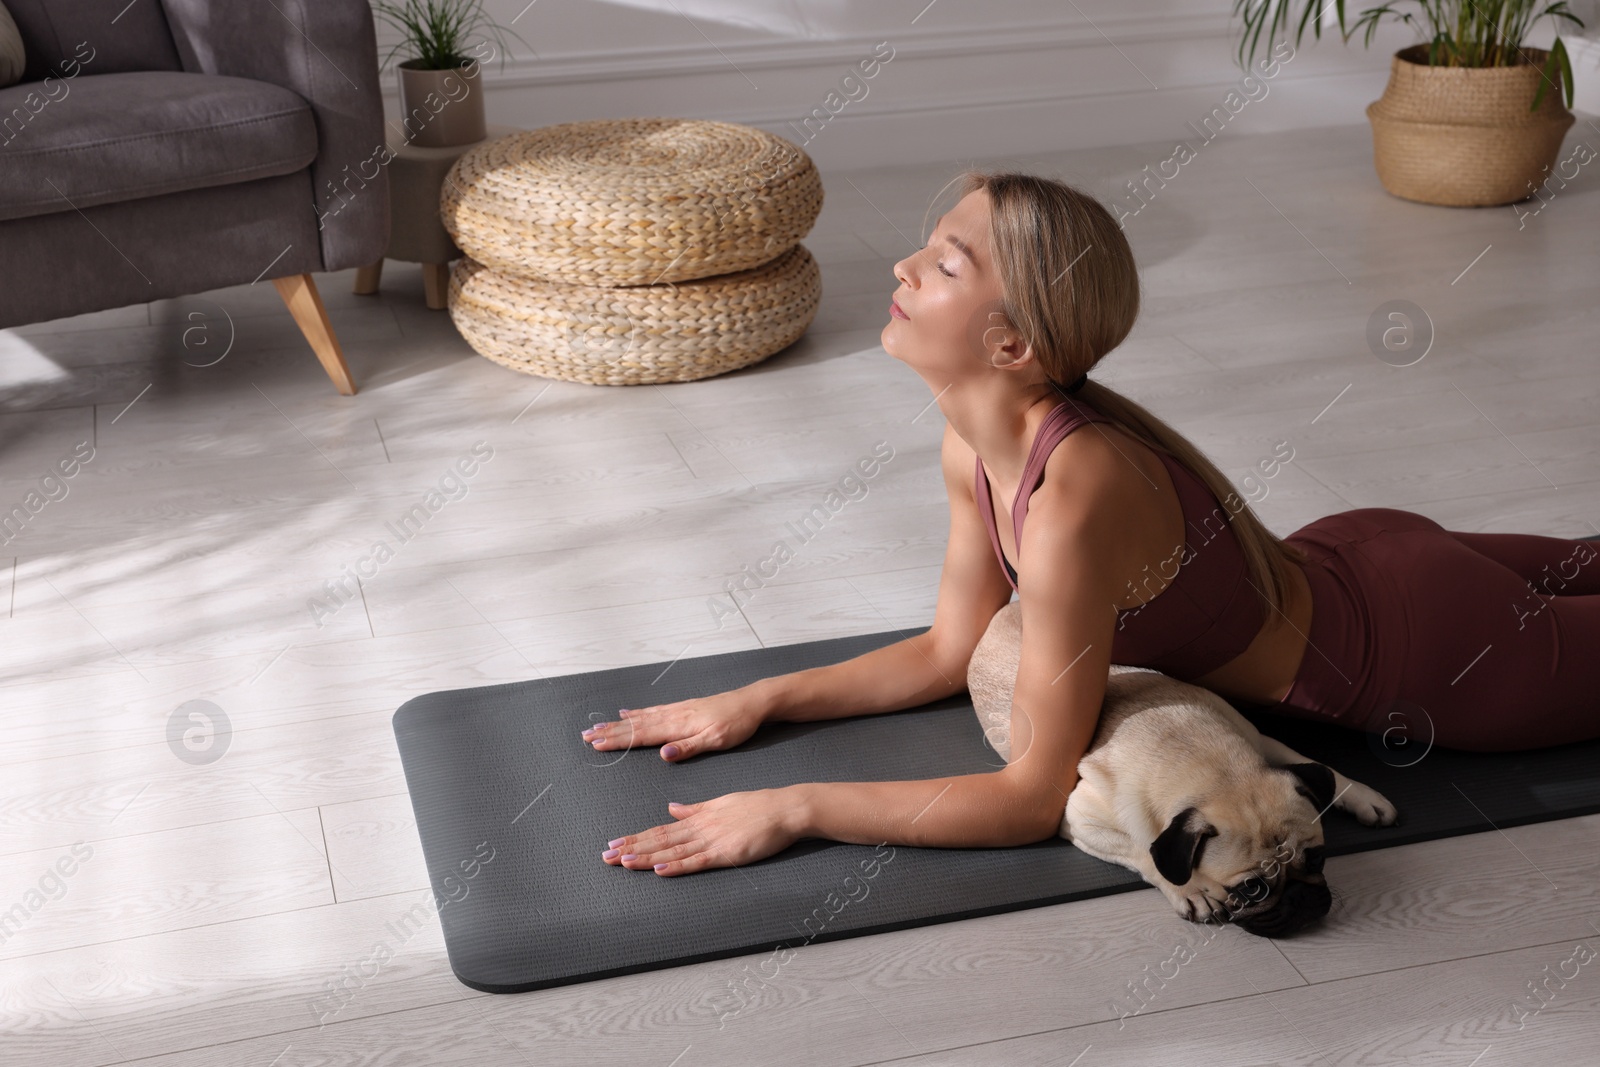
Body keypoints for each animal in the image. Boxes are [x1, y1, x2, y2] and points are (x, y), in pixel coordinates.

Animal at [960, 604, 1401, 940]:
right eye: (1251, 889)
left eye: (1318, 859)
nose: (1300, 899)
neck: (1212, 764)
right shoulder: (1079, 819)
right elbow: (1145, 850)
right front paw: (1190, 889)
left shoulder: (1260, 740)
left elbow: (1323, 767)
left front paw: (1364, 796)